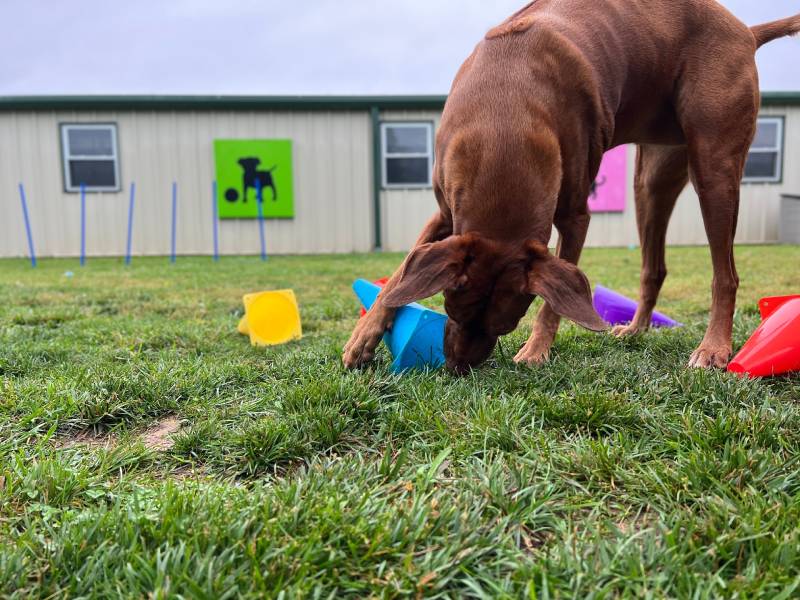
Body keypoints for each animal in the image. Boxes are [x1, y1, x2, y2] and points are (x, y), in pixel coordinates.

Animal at [344, 1, 800, 376]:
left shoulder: (576, 216)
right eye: (451, 309)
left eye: (505, 326)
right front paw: (363, 337)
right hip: (651, 181)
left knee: (726, 274)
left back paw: (714, 347)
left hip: (714, 166)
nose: (458, 369)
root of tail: (745, 31)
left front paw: (536, 349)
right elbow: (401, 273)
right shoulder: (444, 212)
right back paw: (635, 329)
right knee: (654, 266)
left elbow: (553, 300)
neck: (504, 118)